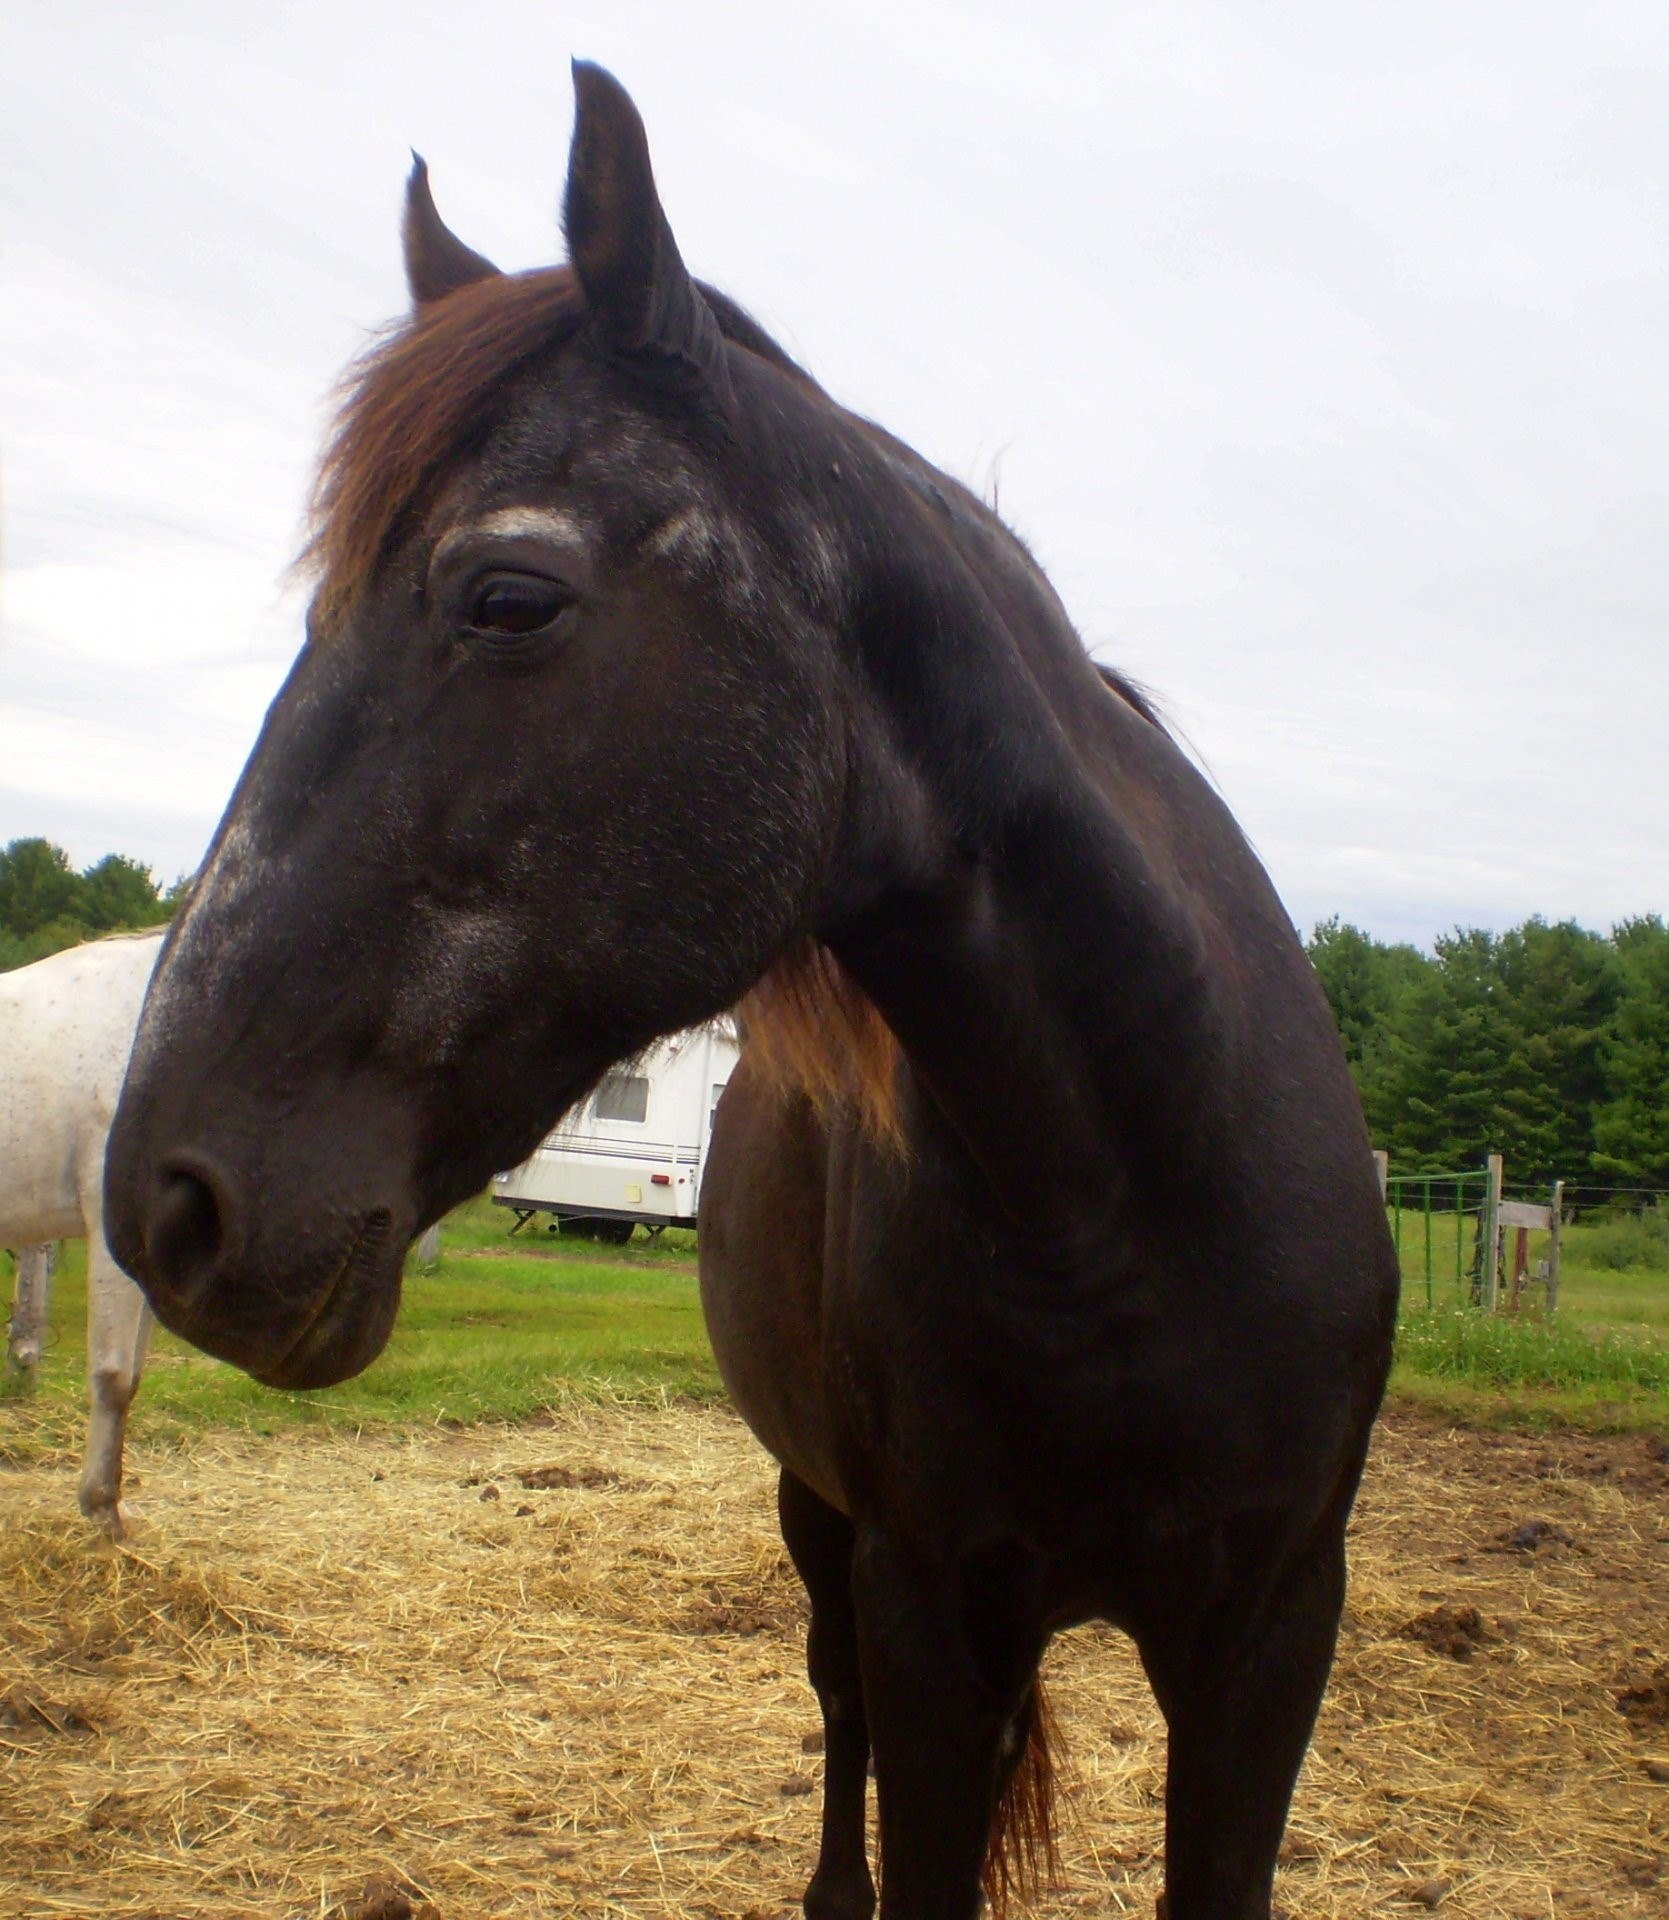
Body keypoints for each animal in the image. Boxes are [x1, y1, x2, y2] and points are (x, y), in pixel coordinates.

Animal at [104, 67, 1398, 1920]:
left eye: (509, 597)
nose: (169, 1201)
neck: (1136, 1191)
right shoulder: (933, 1608)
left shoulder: (1273, 1632)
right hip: (822, 1523)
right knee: (831, 1703)